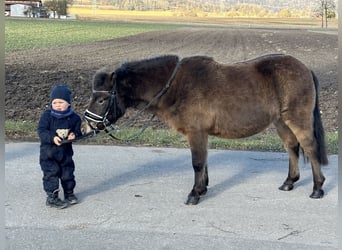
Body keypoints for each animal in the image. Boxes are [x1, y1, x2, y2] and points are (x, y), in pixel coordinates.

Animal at [81, 53, 328, 204]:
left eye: (101, 99)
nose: (86, 125)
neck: (176, 86)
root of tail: (304, 68)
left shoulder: (196, 133)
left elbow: (197, 163)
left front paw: (194, 194)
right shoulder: (201, 134)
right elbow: (204, 162)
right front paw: (203, 189)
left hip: (298, 119)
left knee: (310, 148)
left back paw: (317, 188)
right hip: (281, 122)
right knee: (292, 147)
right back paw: (289, 182)